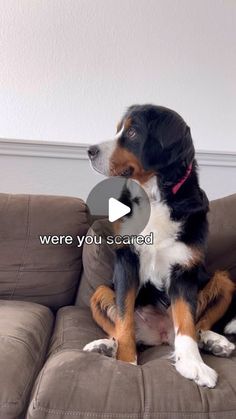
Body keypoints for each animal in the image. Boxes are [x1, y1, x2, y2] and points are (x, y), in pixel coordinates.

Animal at [84, 104, 235, 388]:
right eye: (118, 129)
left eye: (132, 132)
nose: (90, 151)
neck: (154, 197)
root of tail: (160, 335)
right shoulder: (127, 260)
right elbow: (124, 318)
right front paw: (126, 361)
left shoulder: (184, 267)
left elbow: (186, 322)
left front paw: (193, 364)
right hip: (99, 292)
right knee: (117, 325)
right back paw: (105, 346)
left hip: (223, 281)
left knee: (200, 325)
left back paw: (216, 342)